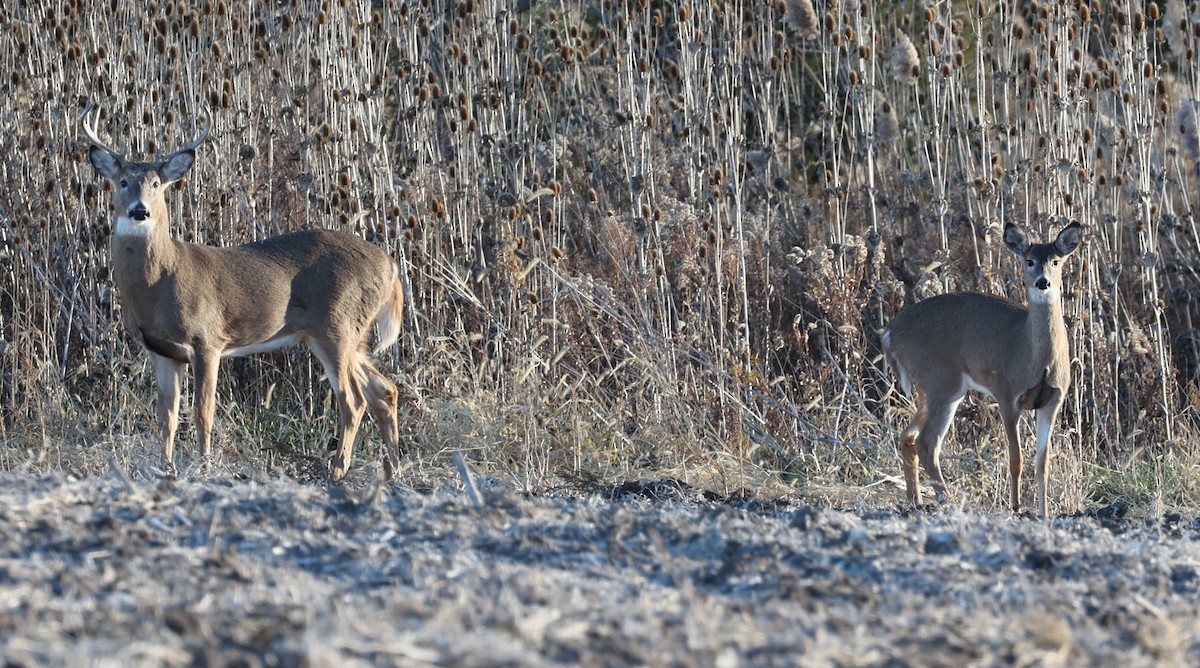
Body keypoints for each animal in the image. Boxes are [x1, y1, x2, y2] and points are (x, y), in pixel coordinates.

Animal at [83, 106, 404, 482]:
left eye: (156, 185)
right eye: (122, 182)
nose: (139, 210)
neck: (160, 283)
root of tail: (391, 267)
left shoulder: (207, 340)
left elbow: (202, 412)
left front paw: (204, 467)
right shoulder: (161, 350)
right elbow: (166, 419)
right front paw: (166, 469)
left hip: (337, 326)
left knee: (353, 400)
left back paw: (338, 470)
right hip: (346, 335)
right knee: (385, 389)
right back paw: (392, 469)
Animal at [882, 221, 1082, 518]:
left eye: (1056, 261)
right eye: (1029, 261)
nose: (1042, 282)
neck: (1035, 360)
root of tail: (890, 333)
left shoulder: (1052, 400)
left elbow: (1042, 462)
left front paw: (1044, 512)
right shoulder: (1007, 394)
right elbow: (1016, 458)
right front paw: (1016, 506)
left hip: (936, 388)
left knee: (907, 437)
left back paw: (916, 500)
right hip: (940, 381)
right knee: (926, 443)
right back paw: (947, 499)